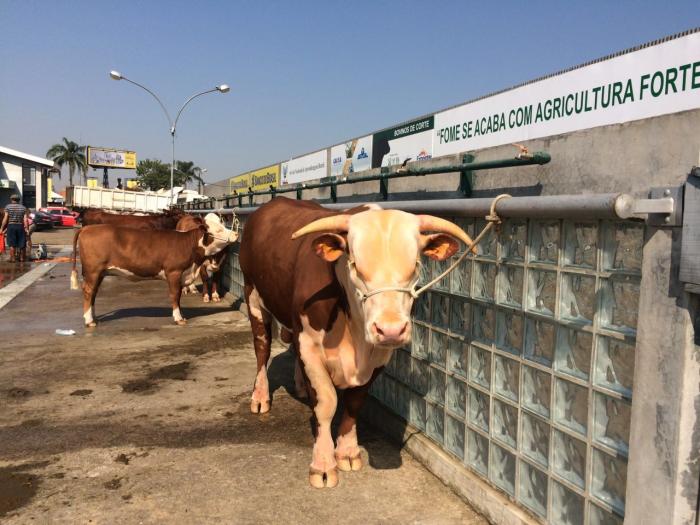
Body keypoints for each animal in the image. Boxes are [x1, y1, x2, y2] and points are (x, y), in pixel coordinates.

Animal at [71, 211, 237, 326]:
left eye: (223, 224)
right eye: (219, 230)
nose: (235, 233)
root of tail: (87, 229)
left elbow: (179, 297)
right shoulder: (174, 272)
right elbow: (175, 295)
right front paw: (178, 318)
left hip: (99, 273)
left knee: (93, 293)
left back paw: (93, 317)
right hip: (93, 270)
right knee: (88, 291)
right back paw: (89, 320)